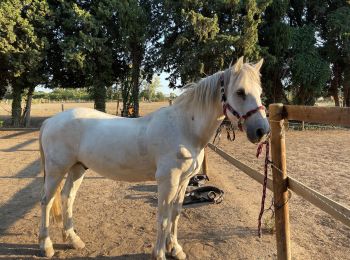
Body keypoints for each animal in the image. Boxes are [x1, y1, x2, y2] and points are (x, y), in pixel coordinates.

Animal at [38, 57, 270, 260]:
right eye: (240, 92)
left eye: (260, 92)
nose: (262, 131)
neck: (184, 128)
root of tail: (50, 121)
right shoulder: (168, 181)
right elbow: (163, 218)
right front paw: (159, 253)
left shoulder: (183, 182)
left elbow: (175, 214)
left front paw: (175, 249)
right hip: (56, 170)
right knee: (47, 201)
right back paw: (46, 246)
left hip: (77, 168)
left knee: (67, 198)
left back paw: (73, 240)